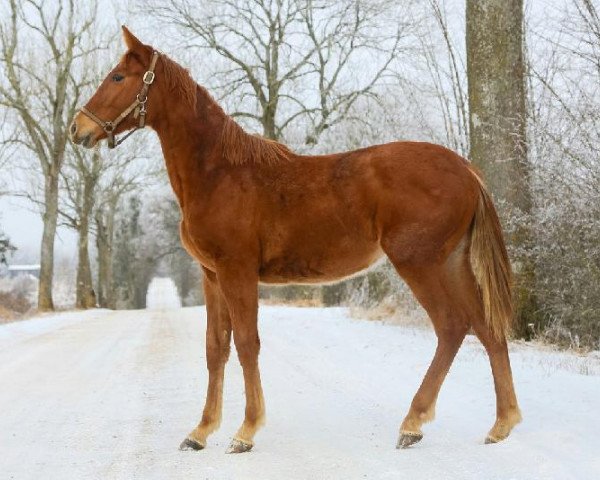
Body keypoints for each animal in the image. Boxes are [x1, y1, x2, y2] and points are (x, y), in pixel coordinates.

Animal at [70, 26, 520, 454]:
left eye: (118, 76)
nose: (78, 128)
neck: (219, 173)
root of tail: (466, 170)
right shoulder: (211, 276)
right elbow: (216, 348)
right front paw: (200, 432)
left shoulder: (237, 272)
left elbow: (247, 344)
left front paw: (245, 432)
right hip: (453, 262)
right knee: (486, 328)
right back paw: (500, 425)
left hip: (420, 263)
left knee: (452, 326)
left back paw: (413, 423)